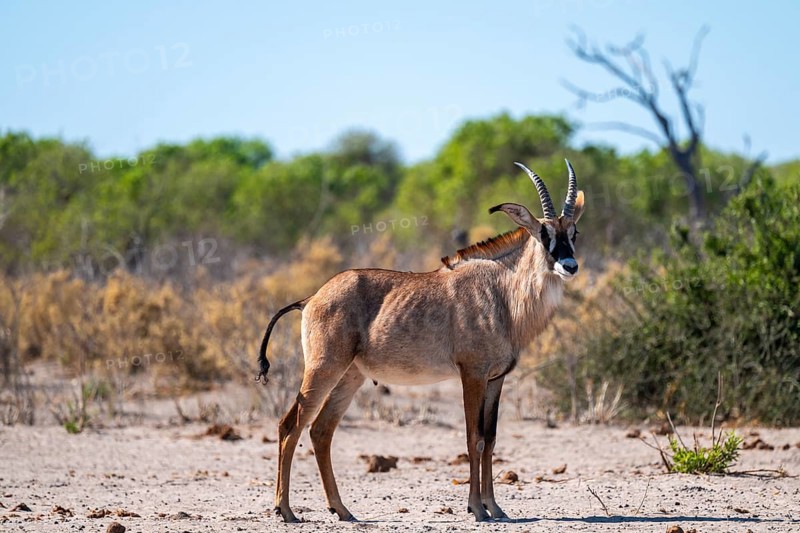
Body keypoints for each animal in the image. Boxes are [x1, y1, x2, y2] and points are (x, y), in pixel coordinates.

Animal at [256, 160, 586, 522]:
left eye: (573, 233)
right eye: (543, 234)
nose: (569, 265)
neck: (501, 291)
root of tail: (310, 298)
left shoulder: (496, 379)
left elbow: (490, 439)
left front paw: (495, 507)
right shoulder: (472, 374)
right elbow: (474, 439)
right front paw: (476, 508)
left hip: (350, 376)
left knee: (320, 430)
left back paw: (341, 510)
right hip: (324, 368)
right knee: (291, 425)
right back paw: (286, 510)